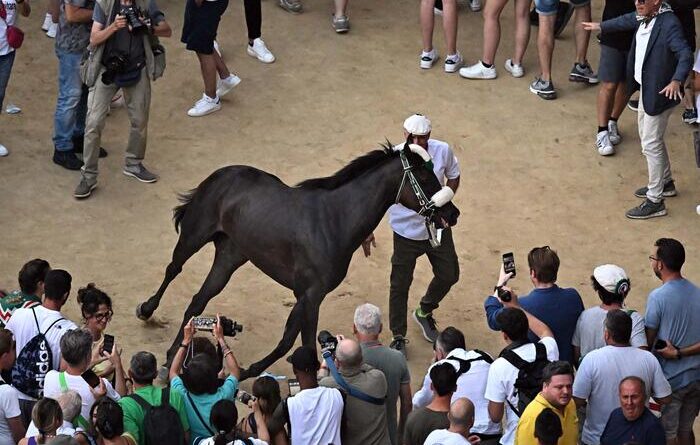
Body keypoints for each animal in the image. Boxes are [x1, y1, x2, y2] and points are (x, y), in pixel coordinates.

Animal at [137, 140, 462, 376]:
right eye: (424, 175)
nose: (452, 214)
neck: (335, 220)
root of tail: (223, 173)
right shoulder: (311, 295)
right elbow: (303, 342)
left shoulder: (306, 295)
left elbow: (286, 342)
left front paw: (247, 370)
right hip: (194, 235)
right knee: (173, 269)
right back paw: (147, 309)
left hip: (230, 257)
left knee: (197, 301)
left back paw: (171, 356)